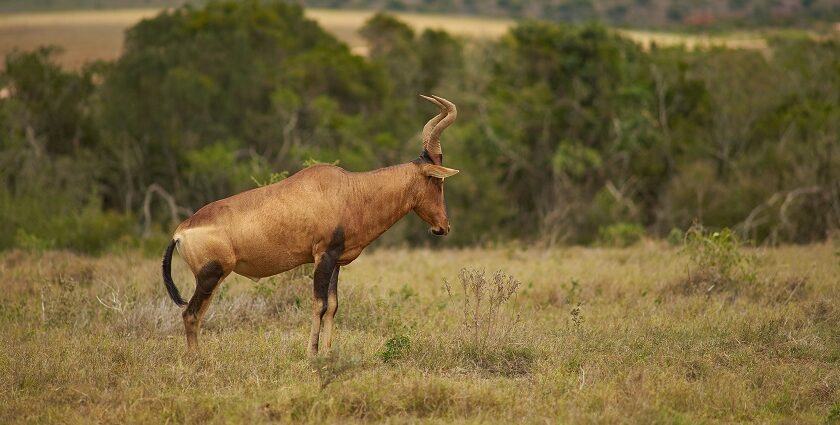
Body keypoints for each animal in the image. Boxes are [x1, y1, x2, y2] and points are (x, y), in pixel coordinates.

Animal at [163, 94, 460, 352]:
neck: (350, 189)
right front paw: (311, 353)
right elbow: (319, 304)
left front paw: (327, 352)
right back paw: (198, 361)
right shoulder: (322, 257)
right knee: (190, 314)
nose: (443, 227)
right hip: (210, 275)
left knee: (196, 315)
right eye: (437, 180)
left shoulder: (335, 260)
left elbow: (333, 305)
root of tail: (179, 232)